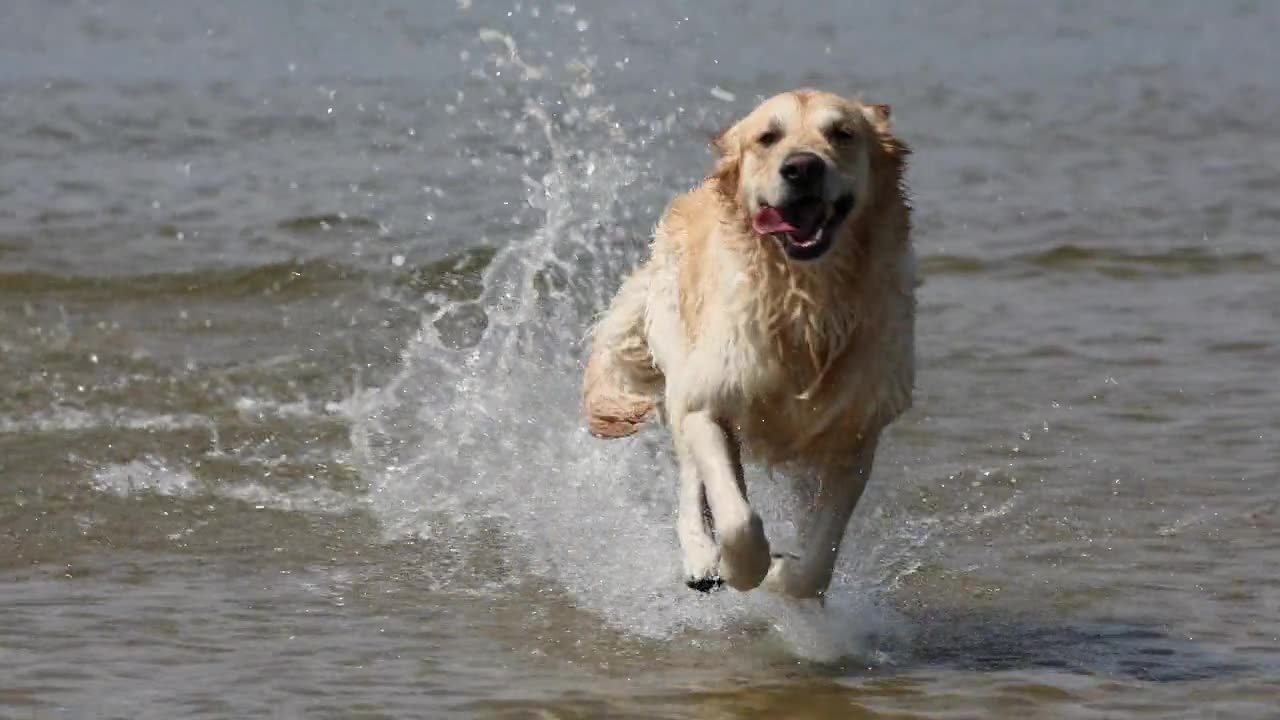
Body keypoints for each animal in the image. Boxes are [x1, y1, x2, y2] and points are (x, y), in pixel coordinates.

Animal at [581, 87, 911, 597]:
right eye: (767, 138)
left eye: (842, 133)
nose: (802, 167)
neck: (805, 299)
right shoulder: (707, 402)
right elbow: (738, 519)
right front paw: (742, 567)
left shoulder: (854, 433)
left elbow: (818, 560)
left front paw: (784, 575)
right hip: (679, 377)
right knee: (693, 487)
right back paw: (701, 558)